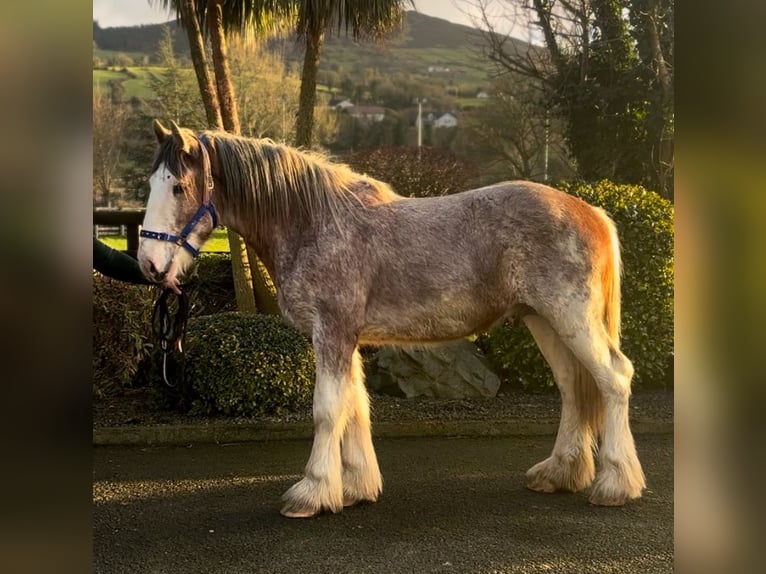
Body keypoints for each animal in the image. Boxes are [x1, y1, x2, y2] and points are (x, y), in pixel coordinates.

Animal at [137, 119, 646, 518]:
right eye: (150, 185)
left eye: (178, 187)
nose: (149, 265)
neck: (314, 222)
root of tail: (591, 211)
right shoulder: (347, 338)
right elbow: (355, 407)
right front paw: (355, 488)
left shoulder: (332, 334)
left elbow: (328, 410)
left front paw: (312, 492)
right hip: (545, 321)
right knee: (574, 387)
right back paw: (560, 473)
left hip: (571, 318)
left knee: (614, 379)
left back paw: (615, 484)